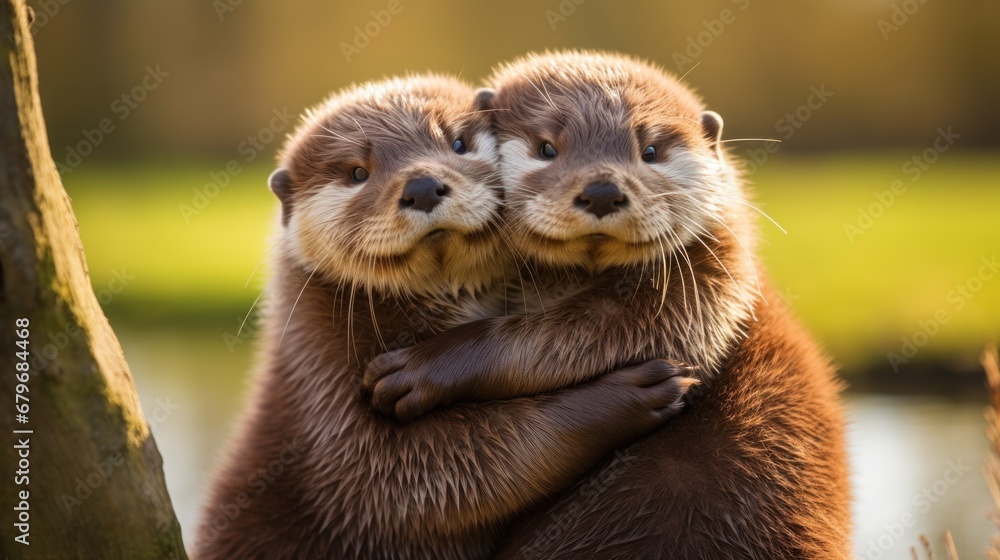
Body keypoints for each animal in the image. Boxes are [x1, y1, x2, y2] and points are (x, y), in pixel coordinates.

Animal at [192, 74, 696, 560]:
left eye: (457, 143)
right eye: (357, 172)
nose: (421, 186)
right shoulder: (325, 389)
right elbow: (418, 480)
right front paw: (629, 395)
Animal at [364, 52, 852, 558]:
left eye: (650, 151)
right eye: (547, 148)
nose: (601, 191)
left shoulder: (706, 284)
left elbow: (583, 335)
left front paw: (420, 368)